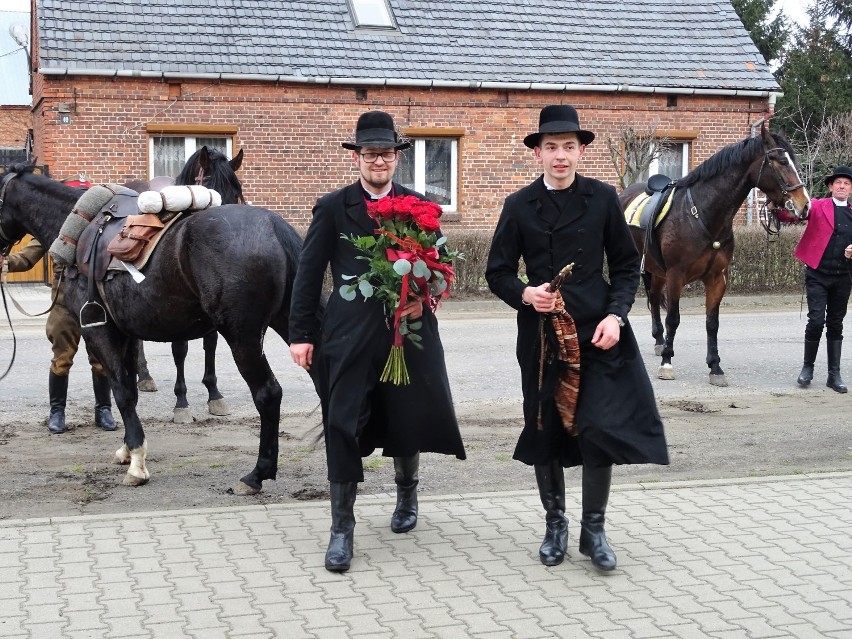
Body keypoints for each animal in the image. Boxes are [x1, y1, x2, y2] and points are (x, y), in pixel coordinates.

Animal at [129, 147, 243, 422]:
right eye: (209, 191)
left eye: (236, 194)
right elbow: (180, 348)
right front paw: (181, 401)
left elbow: (210, 344)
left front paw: (214, 395)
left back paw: (143, 376)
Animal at [620, 124, 812, 384]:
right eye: (781, 161)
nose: (804, 204)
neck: (702, 214)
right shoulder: (675, 276)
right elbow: (674, 318)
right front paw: (667, 363)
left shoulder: (717, 278)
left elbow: (712, 323)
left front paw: (715, 366)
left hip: (656, 269)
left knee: (654, 298)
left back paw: (659, 341)